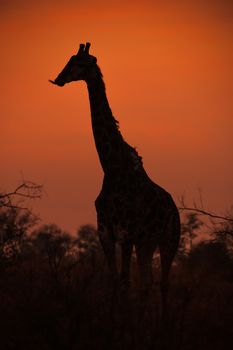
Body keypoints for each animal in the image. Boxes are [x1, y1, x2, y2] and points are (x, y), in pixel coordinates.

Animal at [49, 41, 180, 308]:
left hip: (169, 240)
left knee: (161, 284)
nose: (59, 79)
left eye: (81, 63)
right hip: (147, 242)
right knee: (149, 282)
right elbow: (112, 281)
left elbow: (125, 281)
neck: (112, 168)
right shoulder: (106, 233)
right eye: (69, 60)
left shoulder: (126, 232)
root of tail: (175, 210)